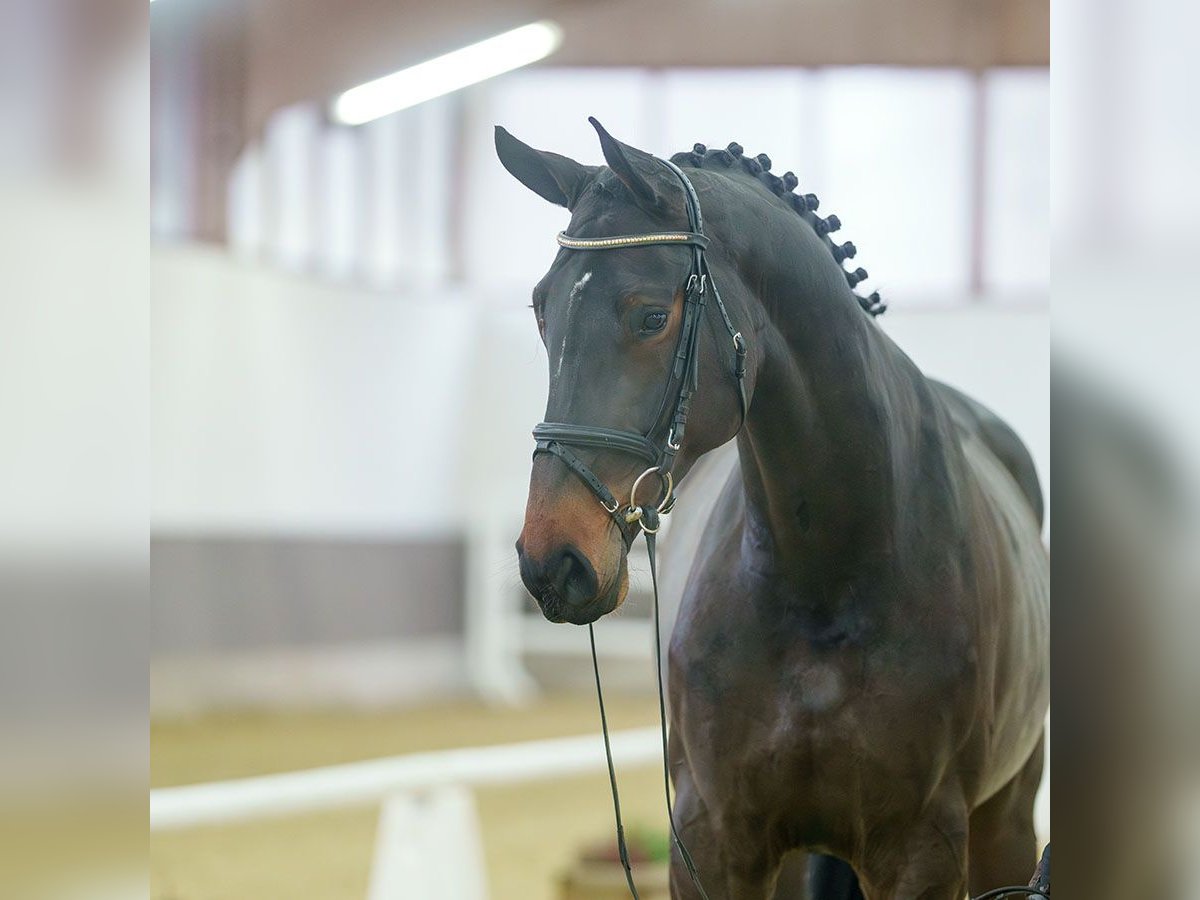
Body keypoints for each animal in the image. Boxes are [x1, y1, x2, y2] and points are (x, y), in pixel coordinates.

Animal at [496, 120, 1041, 900]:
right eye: (543, 310)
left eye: (652, 315)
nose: (552, 561)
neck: (823, 574)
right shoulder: (714, 840)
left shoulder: (923, 849)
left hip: (1008, 822)